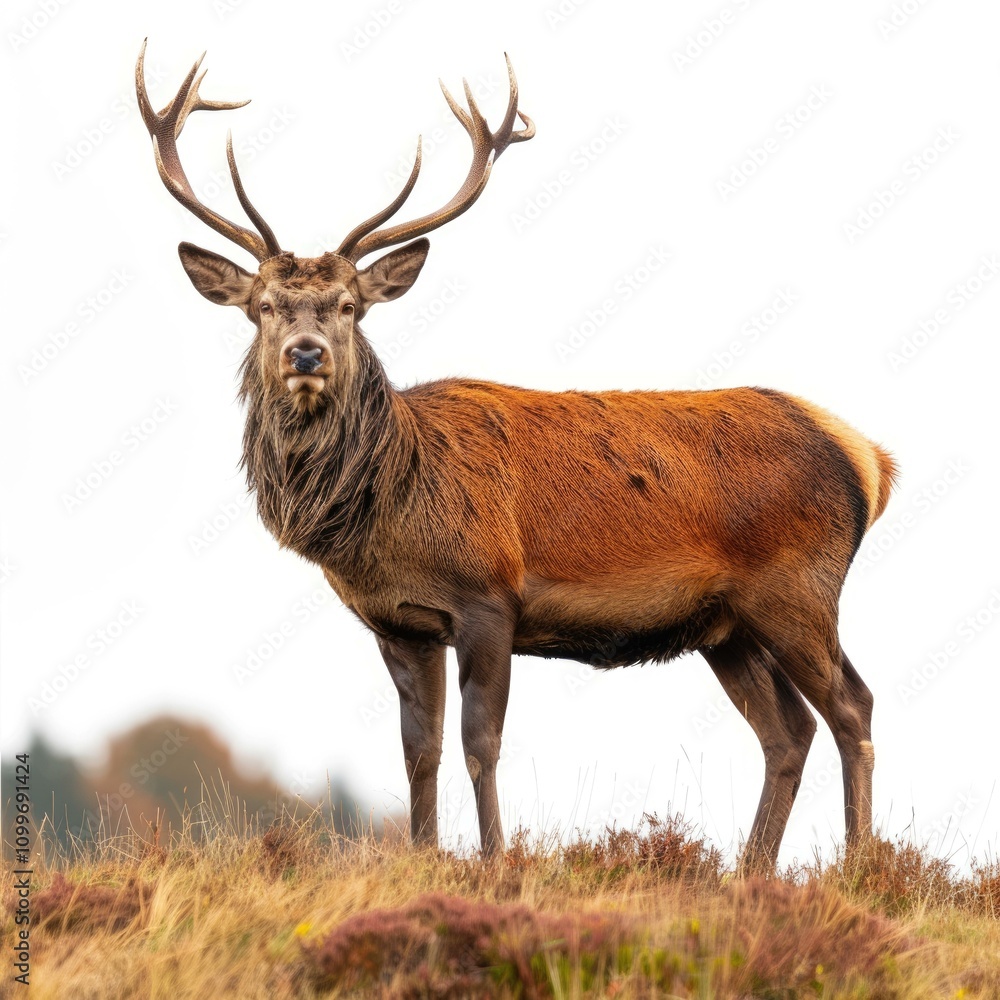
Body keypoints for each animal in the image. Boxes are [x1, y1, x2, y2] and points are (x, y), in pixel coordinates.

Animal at [137, 41, 896, 872]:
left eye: (348, 307)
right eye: (264, 307)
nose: (306, 353)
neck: (391, 507)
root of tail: (869, 458)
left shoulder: (489, 596)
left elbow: (482, 743)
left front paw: (497, 860)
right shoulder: (398, 622)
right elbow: (420, 751)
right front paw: (425, 857)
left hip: (797, 588)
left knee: (852, 706)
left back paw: (861, 866)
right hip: (727, 626)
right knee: (787, 731)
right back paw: (749, 874)